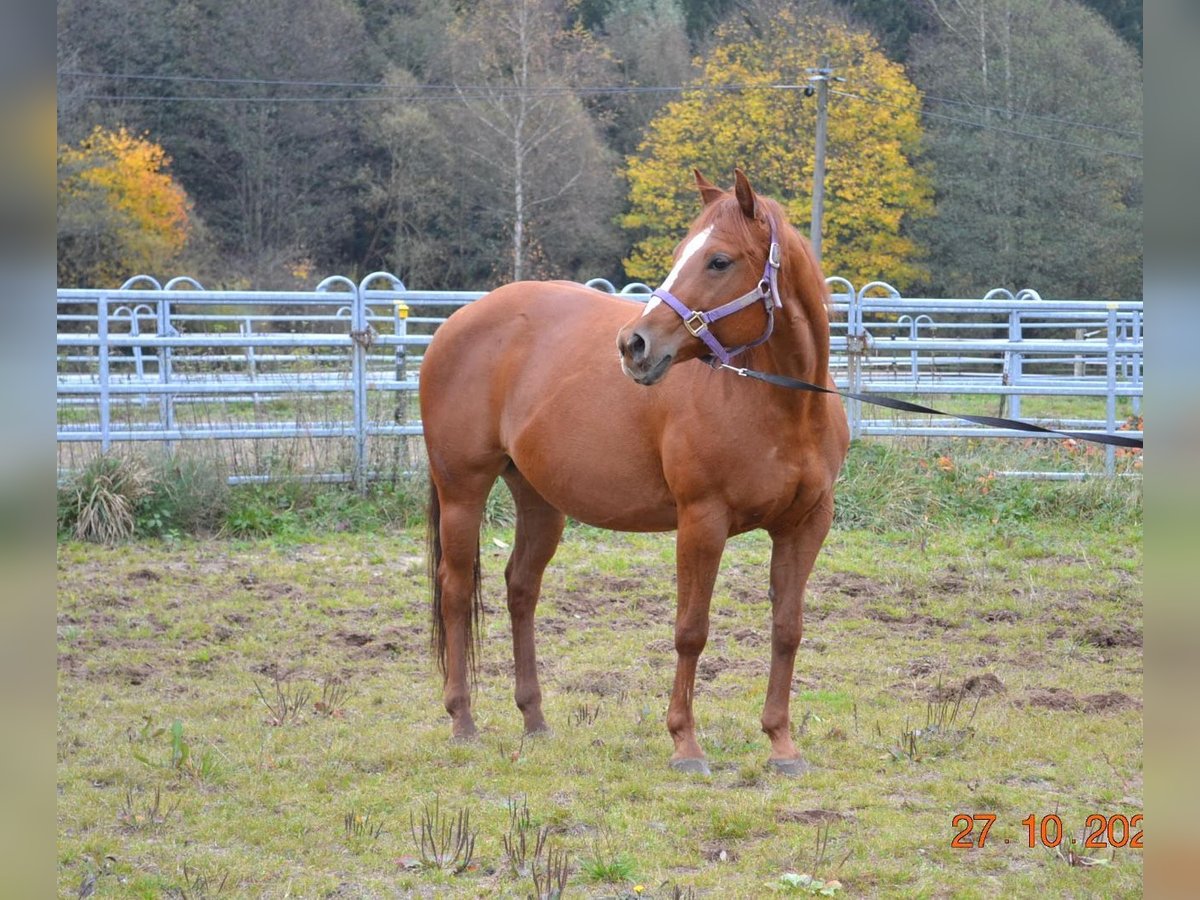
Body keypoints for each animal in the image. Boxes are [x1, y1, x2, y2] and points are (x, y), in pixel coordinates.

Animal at [422, 170, 854, 777]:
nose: (634, 344)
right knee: (457, 592)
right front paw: (686, 745)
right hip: (462, 491)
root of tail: (455, 323)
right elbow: (691, 631)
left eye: (719, 260)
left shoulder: (806, 524)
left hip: (539, 500)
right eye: (680, 256)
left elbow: (787, 630)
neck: (783, 406)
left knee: (521, 589)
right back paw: (463, 721)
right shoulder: (702, 521)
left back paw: (534, 718)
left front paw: (782, 744)